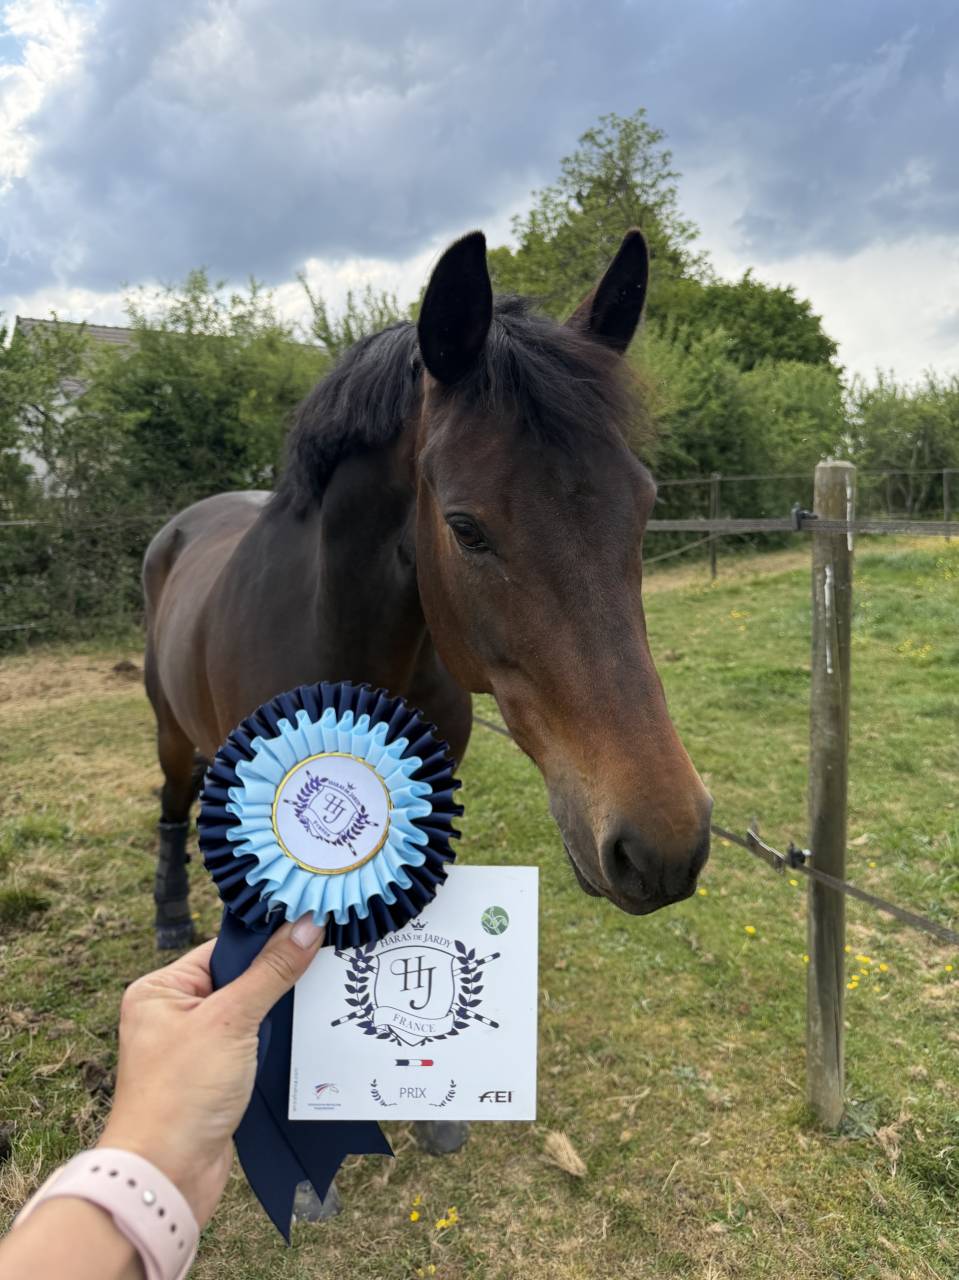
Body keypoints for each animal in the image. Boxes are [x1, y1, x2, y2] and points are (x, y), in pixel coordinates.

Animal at [142, 227, 712, 1172]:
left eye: (644, 505)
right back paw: (164, 915)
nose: (665, 845)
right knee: (168, 808)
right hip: (175, 740)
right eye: (465, 527)